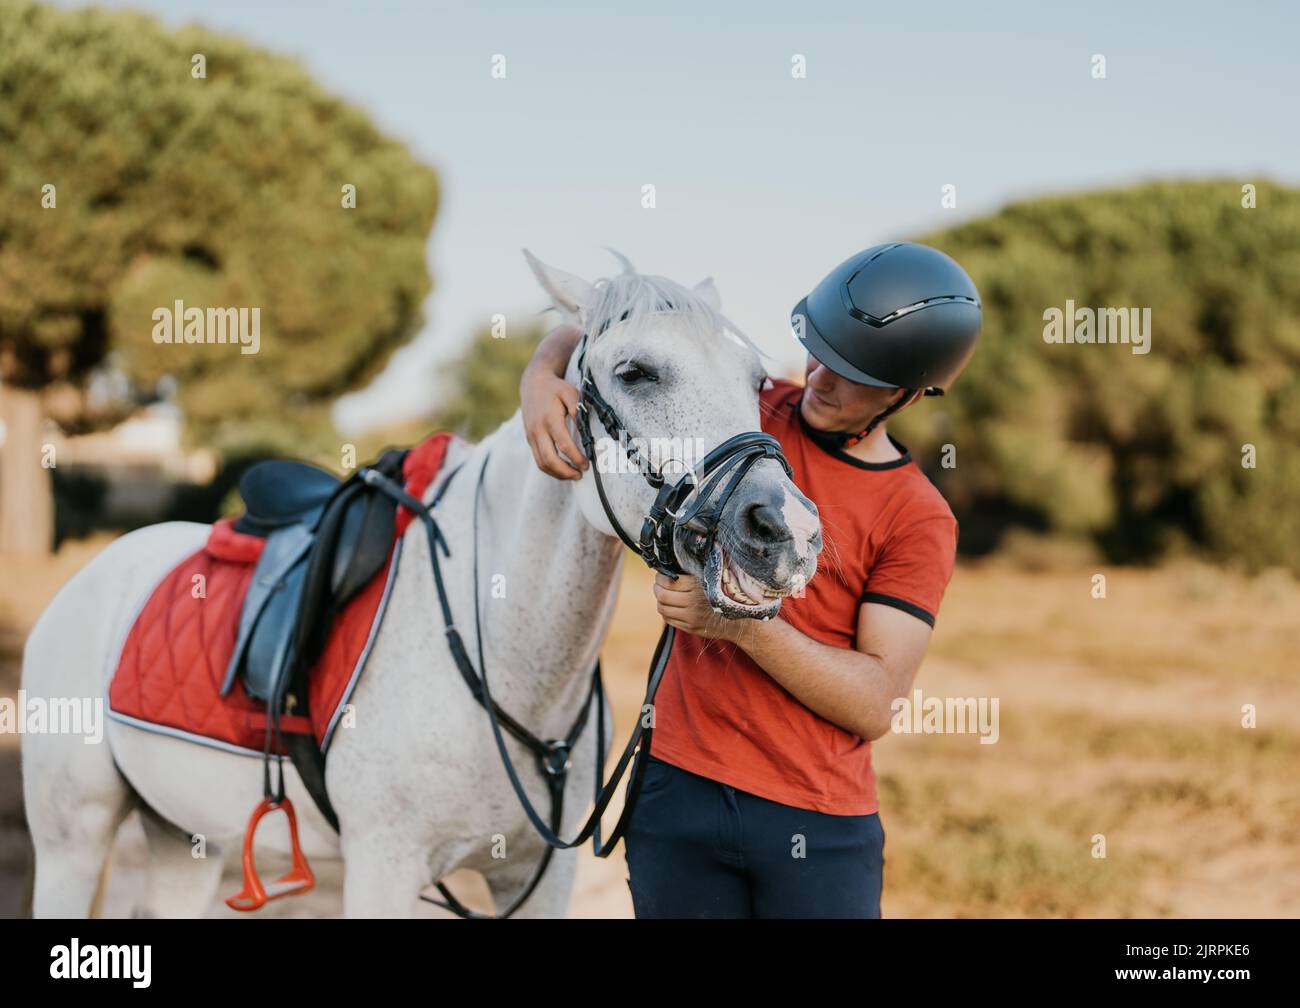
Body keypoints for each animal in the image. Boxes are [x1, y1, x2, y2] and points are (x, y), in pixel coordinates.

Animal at [20, 252, 822, 918]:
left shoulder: (538, 879)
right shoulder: (383, 869)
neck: (503, 654)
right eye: (635, 373)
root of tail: (99, 570)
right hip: (72, 843)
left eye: (758, 384)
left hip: (185, 839)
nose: (786, 531)